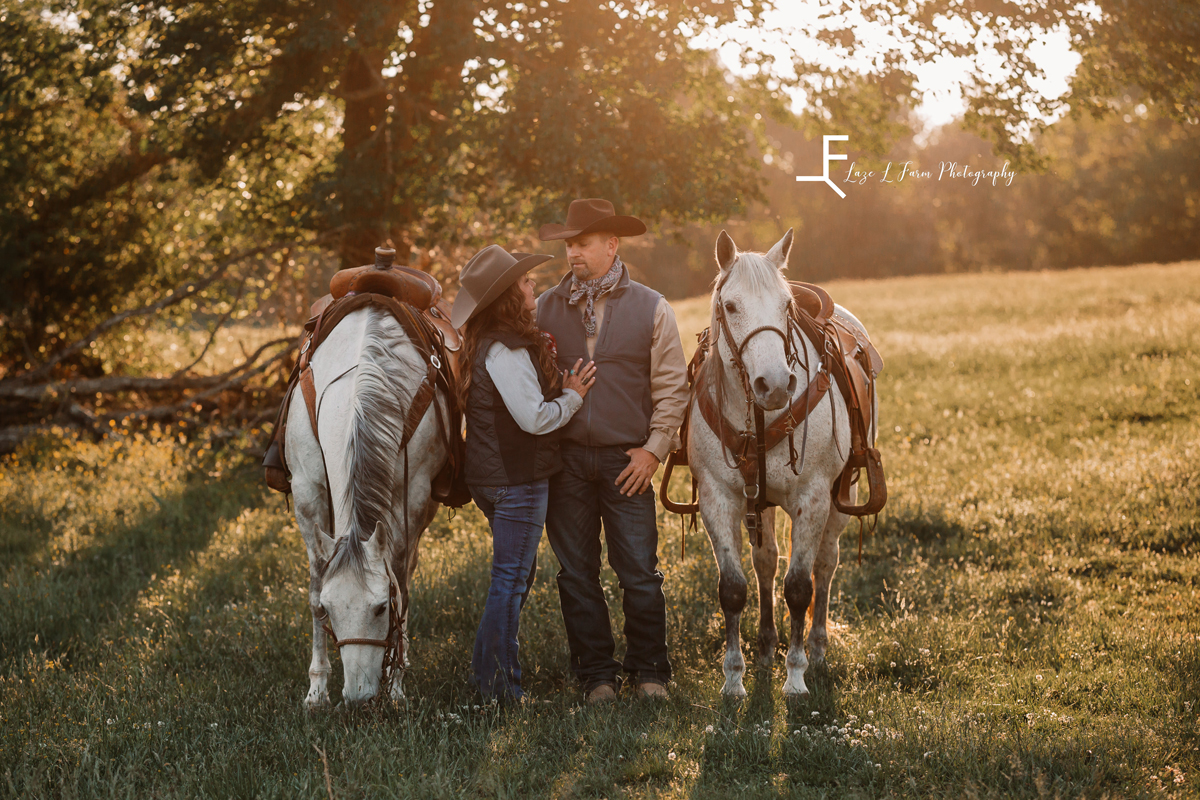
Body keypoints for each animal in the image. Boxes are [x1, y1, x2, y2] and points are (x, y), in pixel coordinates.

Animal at [285, 304, 451, 705]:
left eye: (380, 608)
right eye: (330, 609)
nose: (358, 696)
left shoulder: (414, 497)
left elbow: (401, 584)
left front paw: (396, 684)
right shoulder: (306, 494)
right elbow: (314, 586)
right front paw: (317, 689)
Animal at [691, 227, 878, 695]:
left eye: (785, 305)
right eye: (730, 305)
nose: (774, 384)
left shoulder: (812, 498)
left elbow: (799, 587)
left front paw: (795, 676)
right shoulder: (718, 499)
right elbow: (733, 588)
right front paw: (734, 679)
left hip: (841, 494)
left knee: (825, 566)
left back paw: (817, 649)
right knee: (766, 562)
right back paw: (764, 646)